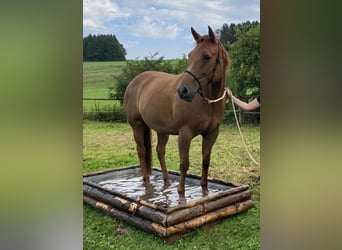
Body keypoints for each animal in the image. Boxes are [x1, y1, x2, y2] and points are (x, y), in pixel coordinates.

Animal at [123, 26, 230, 204]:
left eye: (206, 56)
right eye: (190, 55)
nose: (182, 91)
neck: (208, 101)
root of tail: (136, 81)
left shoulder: (211, 134)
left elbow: (206, 161)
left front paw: (205, 191)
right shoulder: (185, 134)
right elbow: (184, 164)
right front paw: (181, 195)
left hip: (162, 130)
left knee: (160, 151)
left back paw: (166, 181)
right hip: (137, 125)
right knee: (142, 151)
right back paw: (146, 181)